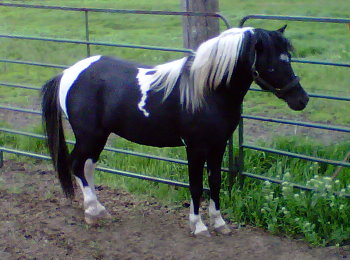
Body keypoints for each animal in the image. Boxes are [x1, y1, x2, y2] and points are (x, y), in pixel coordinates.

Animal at [40, 25, 308, 237]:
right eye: (274, 63)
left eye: (288, 58)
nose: (302, 100)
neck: (207, 91)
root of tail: (68, 73)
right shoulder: (195, 148)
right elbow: (196, 185)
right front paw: (198, 226)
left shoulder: (218, 145)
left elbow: (215, 182)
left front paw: (219, 223)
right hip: (89, 136)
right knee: (77, 165)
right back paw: (93, 210)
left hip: (99, 137)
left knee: (88, 167)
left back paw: (97, 210)